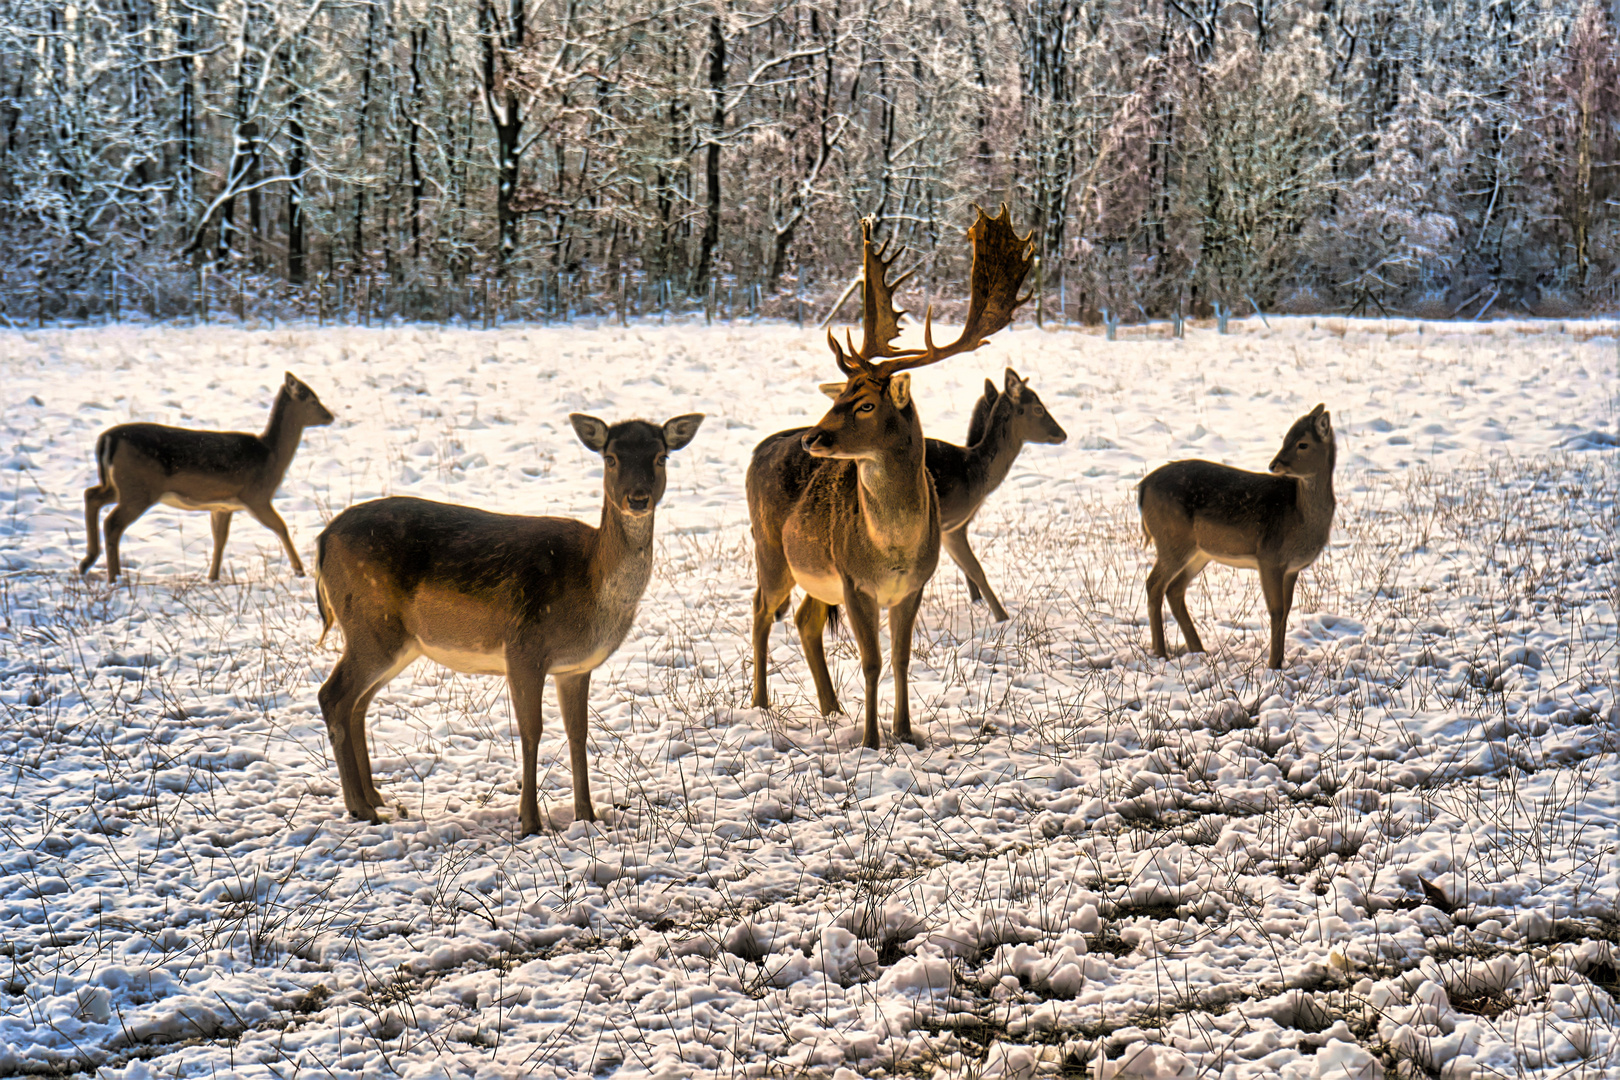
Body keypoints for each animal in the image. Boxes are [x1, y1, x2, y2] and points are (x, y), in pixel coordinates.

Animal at [79, 375, 335, 586]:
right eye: (312, 399)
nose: (330, 416)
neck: (272, 456)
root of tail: (107, 439)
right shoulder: (256, 496)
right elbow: (280, 526)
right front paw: (299, 570)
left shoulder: (223, 505)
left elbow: (220, 538)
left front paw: (212, 577)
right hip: (138, 490)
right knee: (112, 522)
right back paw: (114, 576)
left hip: (120, 486)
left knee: (91, 495)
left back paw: (87, 562)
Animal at [312, 414, 699, 835]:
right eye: (610, 458)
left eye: (661, 457)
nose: (638, 498)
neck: (590, 579)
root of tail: (321, 541)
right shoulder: (523, 650)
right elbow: (531, 731)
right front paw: (530, 820)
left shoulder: (575, 667)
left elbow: (578, 734)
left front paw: (587, 815)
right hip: (370, 626)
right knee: (332, 696)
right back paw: (360, 808)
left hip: (396, 641)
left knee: (358, 704)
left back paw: (375, 797)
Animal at [748, 208, 1030, 751]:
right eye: (841, 395)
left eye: (864, 403)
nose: (813, 438)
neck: (892, 546)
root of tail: (758, 450)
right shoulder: (855, 581)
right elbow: (872, 660)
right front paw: (872, 740)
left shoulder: (914, 583)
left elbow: (900, 658)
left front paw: (904, 731)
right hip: (771, 550)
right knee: (759, 610)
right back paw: (759, 703)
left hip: (814, 573)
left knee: (805, 620)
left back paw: (831, 708)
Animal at [933, 367, 1069, 621]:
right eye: (1038, 408)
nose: (1062, 434)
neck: (972, 470)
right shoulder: (951, 524)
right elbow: (976, 570)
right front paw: (1003, 618)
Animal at [1134, 404, 1334, 670]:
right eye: (1286, 438)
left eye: (1302, 443)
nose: (1273, 464)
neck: (1299, 515)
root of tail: (1142, 487)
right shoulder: (1269, 557)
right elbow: (1276, 609)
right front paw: (1273, 664)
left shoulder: (1292, 568)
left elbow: (1286, 609)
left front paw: (1280, 661)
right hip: (1171, 540)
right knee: (1154, 584)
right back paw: (1160, 653)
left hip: (1199, 552)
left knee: (1174, 589)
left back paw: (1198, 650)